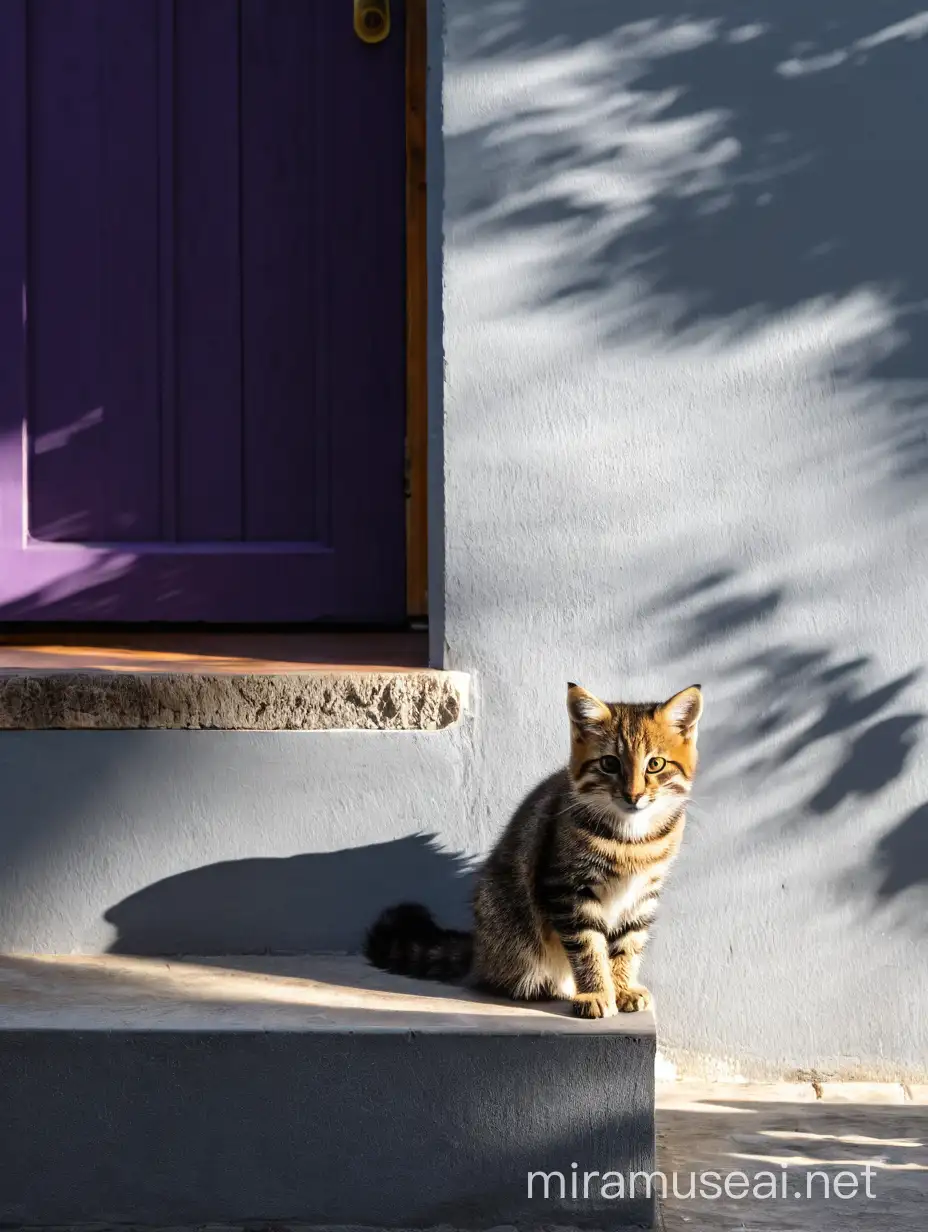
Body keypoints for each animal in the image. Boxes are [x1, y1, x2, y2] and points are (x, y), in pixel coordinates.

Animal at [364, 684, 700, 1020]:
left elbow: (628, 944)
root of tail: (479, 952)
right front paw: (595, 992)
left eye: (655, 764)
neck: (632, 840)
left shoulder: (642, 896)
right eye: (610, 764)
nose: (633, 795)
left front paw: (622, 988)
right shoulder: (568, 890)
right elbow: (588, 948)